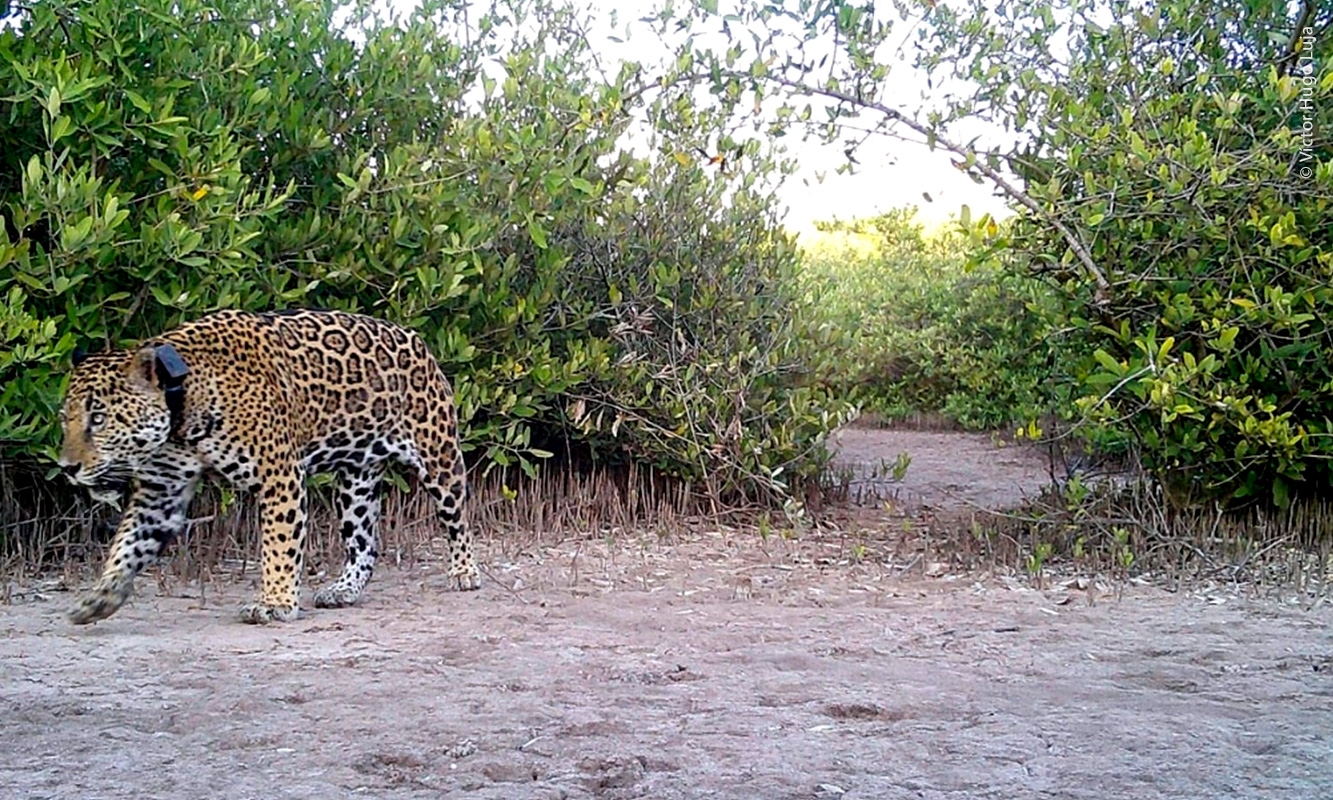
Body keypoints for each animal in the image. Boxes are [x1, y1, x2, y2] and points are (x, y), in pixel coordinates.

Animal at [56, 307, 479, 625]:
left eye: (98, 419)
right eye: (66, 419)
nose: (66, 468)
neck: (182, 406)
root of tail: (416, 338)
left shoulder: (280, 476)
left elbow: (279, 544)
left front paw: (275, 602)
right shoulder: (160, 492)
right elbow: (127, 544)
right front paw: (100, 597)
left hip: (439, 458)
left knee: (458, 520)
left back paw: (465, 572)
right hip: (355, 484)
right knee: (364, 544)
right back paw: (343, 590)